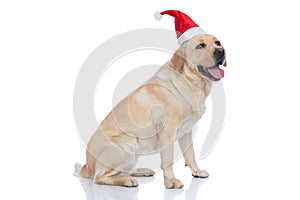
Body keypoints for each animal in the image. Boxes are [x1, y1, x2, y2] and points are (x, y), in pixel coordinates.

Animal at [76, 33, 226, 188]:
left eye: (217, 42)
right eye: (200, 46)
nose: (220, 51)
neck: (191, 83)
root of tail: (87, 166)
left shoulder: (187, 131)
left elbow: (190, 154)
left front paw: (197, 171)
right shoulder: (167, 130)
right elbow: (168, 159)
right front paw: (171, 181)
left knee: (123, 171)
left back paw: (140, 171)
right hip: (125, 148)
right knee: (100, 177)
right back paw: (127, 180)